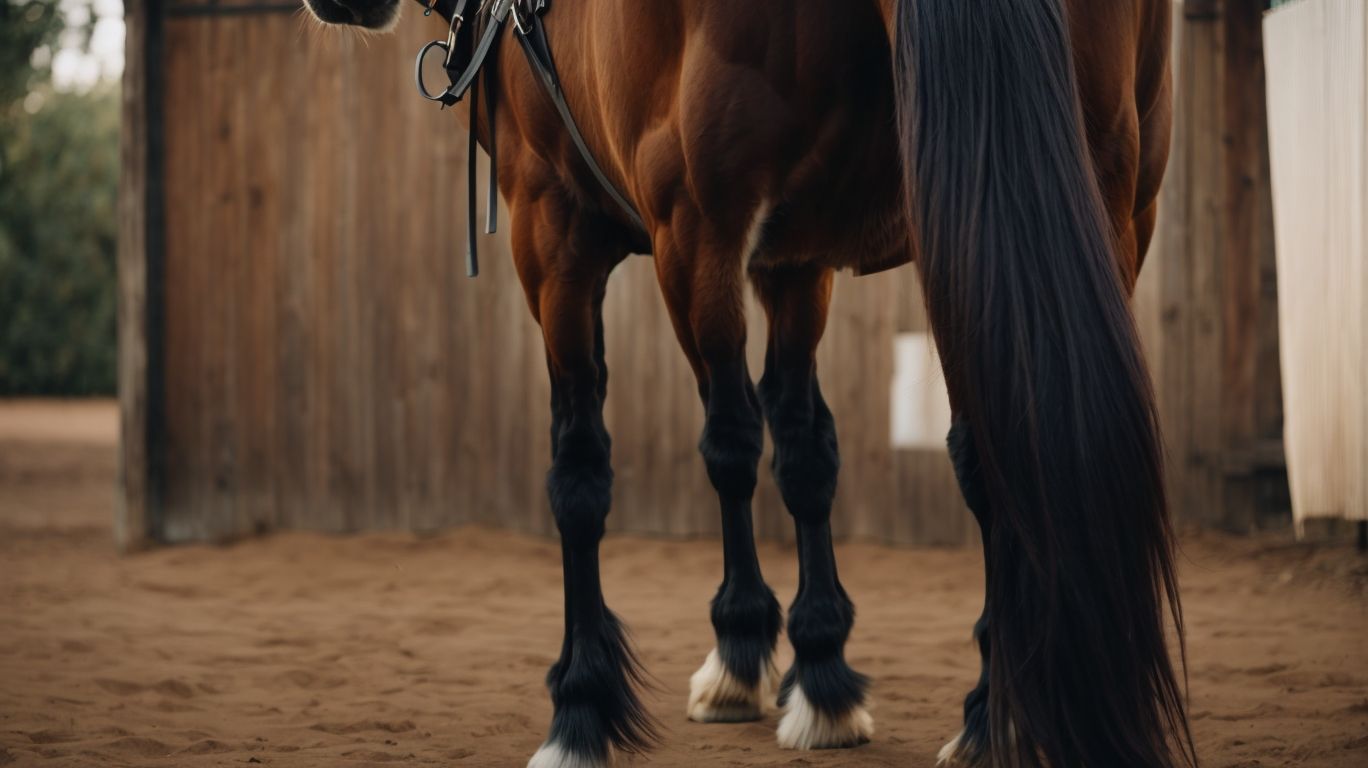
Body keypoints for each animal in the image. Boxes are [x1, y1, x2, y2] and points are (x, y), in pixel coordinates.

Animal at [302, 0, 1194, 766]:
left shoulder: (563, 230)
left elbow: (595, 469)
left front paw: (588, 705)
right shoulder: (795, 260)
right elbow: (803, 449)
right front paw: (817, 670)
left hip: (702, 228)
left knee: (739, 439)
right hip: (1105, 201)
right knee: (992, 444)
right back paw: (997, 712)